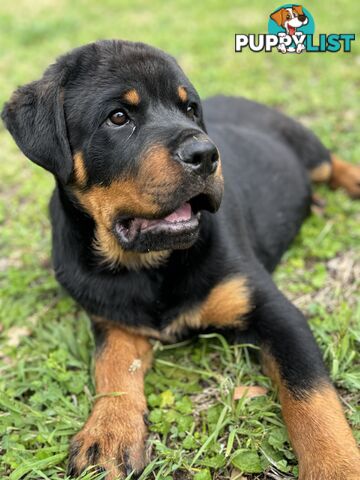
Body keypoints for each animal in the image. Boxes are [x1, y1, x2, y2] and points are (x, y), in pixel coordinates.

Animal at [2, 39, 360, 478]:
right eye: (118, 117)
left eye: (190, 109)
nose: (206, 154)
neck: (147, 264)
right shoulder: (113, 320)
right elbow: (112, 365)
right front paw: (109, 430)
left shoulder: (275, 311)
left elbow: (311, 396)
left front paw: (337, 465)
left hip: (309, 151)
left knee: (332, 163)